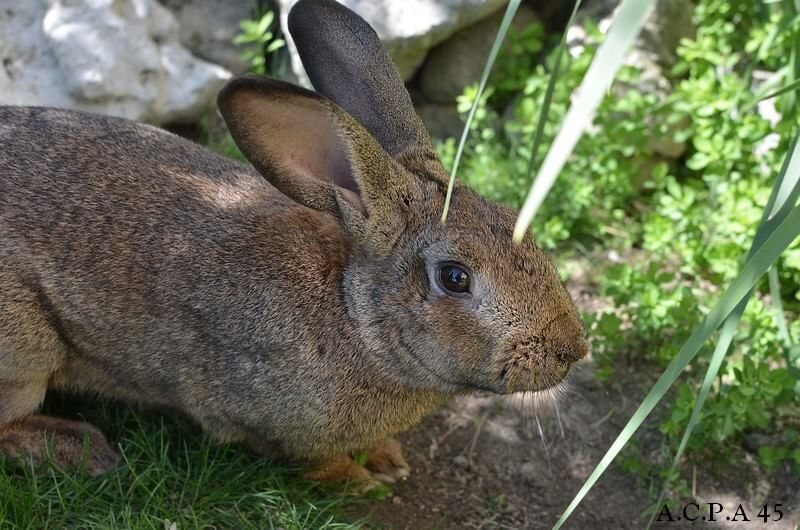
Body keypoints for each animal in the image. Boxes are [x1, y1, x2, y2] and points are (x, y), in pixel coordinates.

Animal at [0, 0, 588, 486]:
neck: (355, 318)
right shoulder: (257, 418)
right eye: (455, 277)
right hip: (26, 349)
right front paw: (360, 480)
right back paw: (80, 449)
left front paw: (387, 459)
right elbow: (312, 463)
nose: (572, 349)